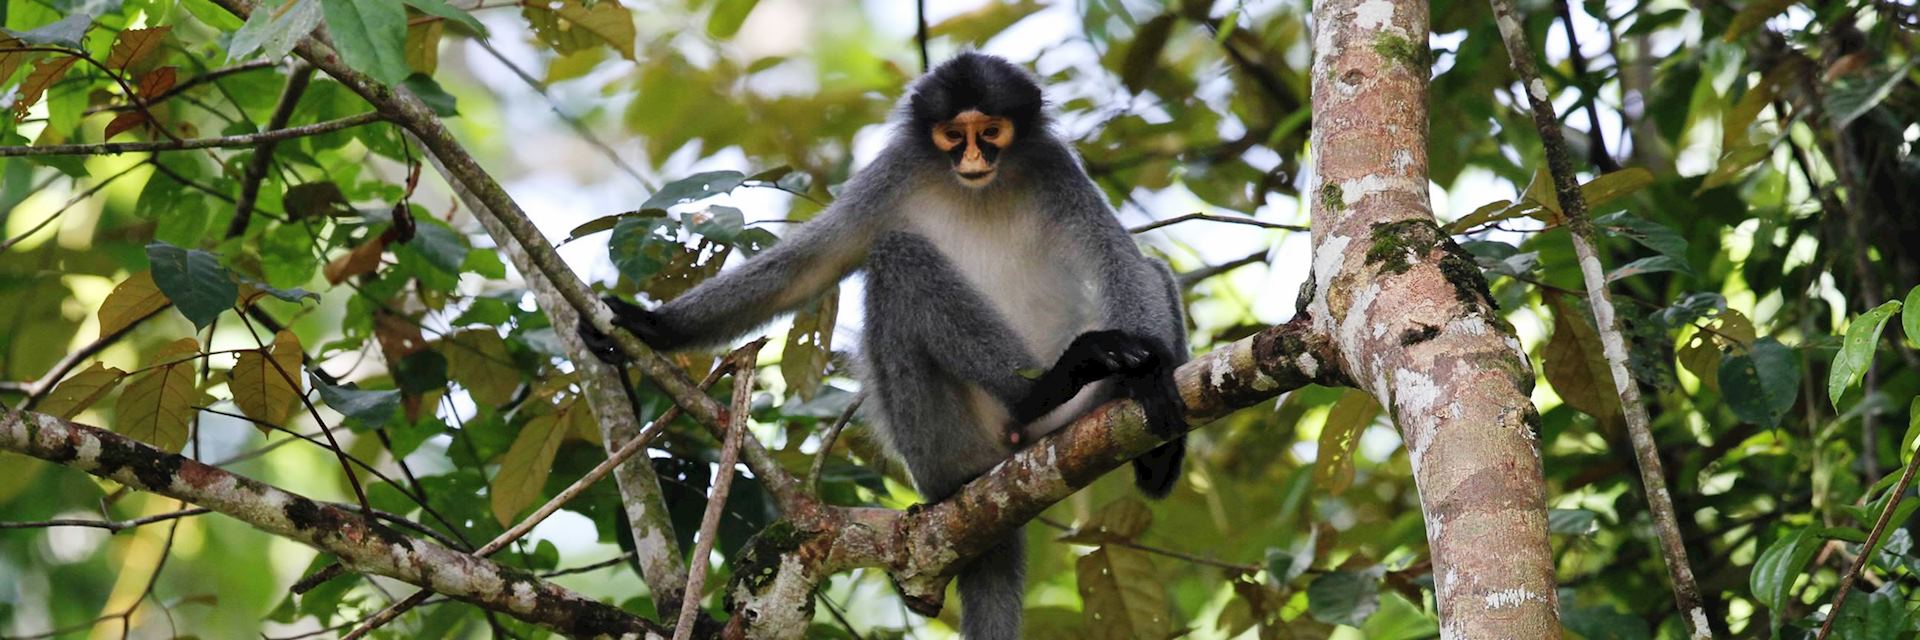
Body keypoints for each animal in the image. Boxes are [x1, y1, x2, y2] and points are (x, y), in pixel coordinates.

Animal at [576, 52, 1190, 634]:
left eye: (991, 132)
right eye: (953, 136)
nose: (972, 161)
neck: (980, 191)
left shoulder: (1055, 169)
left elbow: (1120, 259)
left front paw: (1149, 379)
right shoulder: (895, 172)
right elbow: (808, 265)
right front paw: (651, 327)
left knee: (1154, 271)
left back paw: (1152, 450)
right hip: (944, 444)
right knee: (897, 256)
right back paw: (1048, 386)